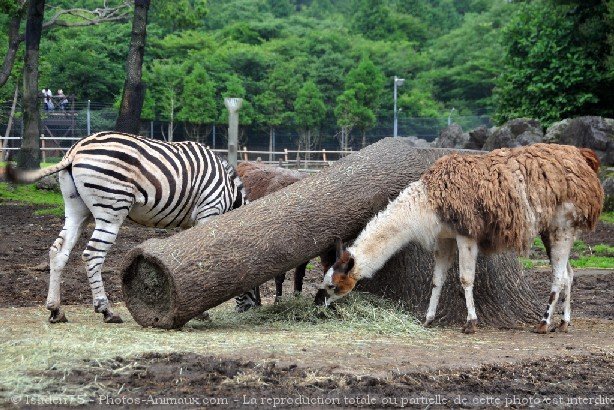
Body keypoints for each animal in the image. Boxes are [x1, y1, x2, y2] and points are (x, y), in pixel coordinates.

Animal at [7, 131, 262, 324]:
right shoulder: (209, 211)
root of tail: (75, 150)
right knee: (92, 255)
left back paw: (55, 309)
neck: (229, 194)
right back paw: (106, 310)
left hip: (76, 209)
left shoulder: (190, 222)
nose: (254, 307)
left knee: (58, 252)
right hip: (111, 209)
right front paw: (202, 312)